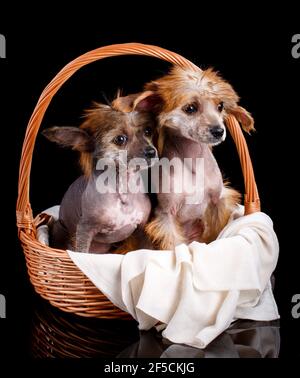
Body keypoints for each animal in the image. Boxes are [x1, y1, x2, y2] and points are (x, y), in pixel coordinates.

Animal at [44, 92, 159, 252]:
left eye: (148, 131)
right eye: (120, 139)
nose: (151, 152)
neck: (123, 189)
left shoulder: (142, 229)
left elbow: (145, 250)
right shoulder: (84, 230)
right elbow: (82, 252)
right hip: (59, 228)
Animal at [141, 67, 253, 251]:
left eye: (220, 106)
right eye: (191, 108)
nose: (218, 131)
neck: (192, 160)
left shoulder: (218, 202)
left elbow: (215, 233)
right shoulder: (166, 215)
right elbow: (173, 245)